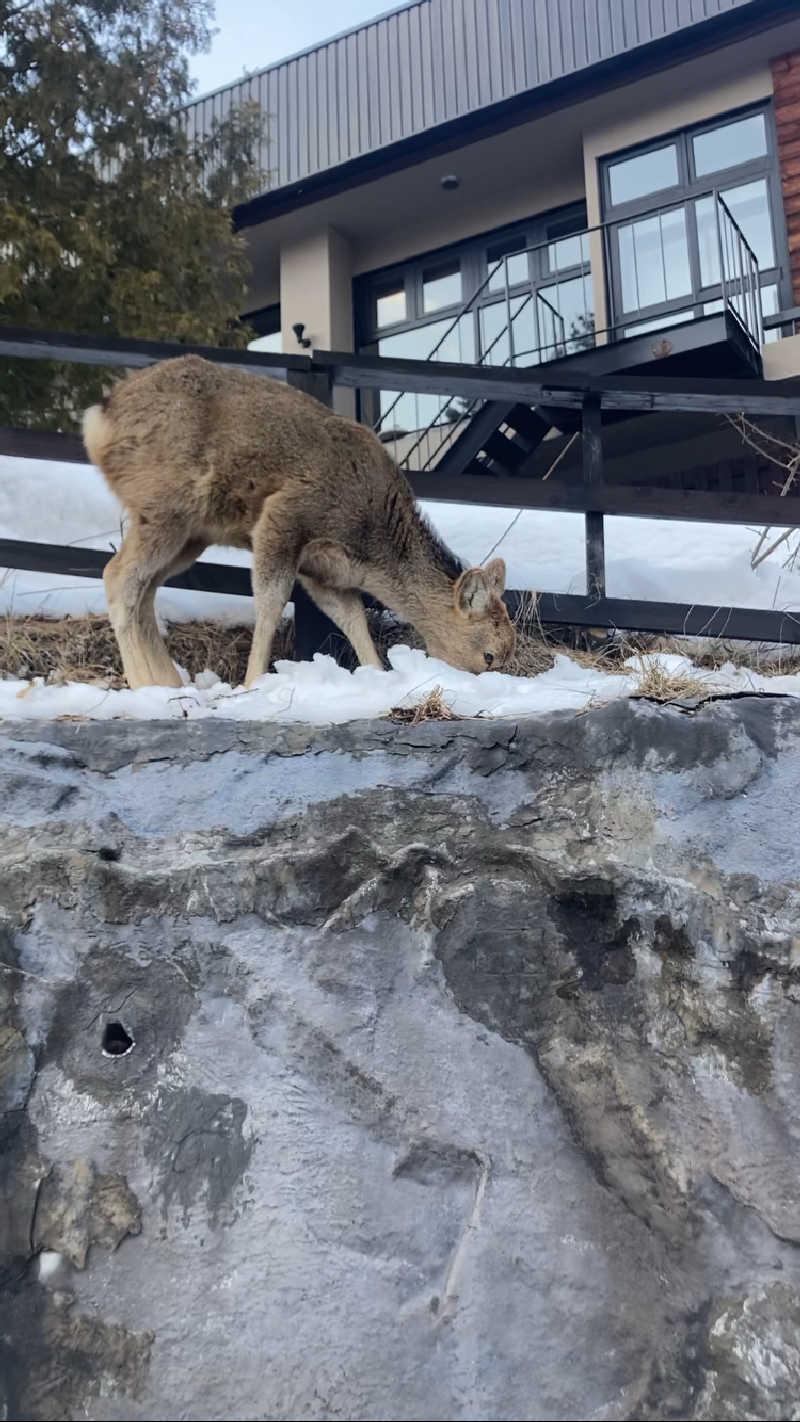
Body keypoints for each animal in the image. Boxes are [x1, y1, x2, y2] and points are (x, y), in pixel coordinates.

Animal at [83, 352, 520, 691]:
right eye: (489, 654)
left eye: (509, 650)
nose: (492, 683)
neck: (370, 548)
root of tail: (99, 417)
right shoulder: (285, 515)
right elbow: (271, 601)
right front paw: (252, 683)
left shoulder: (324, 573)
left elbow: (353, 619)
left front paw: (378, 675)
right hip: (164, 503)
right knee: (117, 576)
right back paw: (143, 683)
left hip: (191, 534)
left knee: (145, 590)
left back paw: (168, 683)